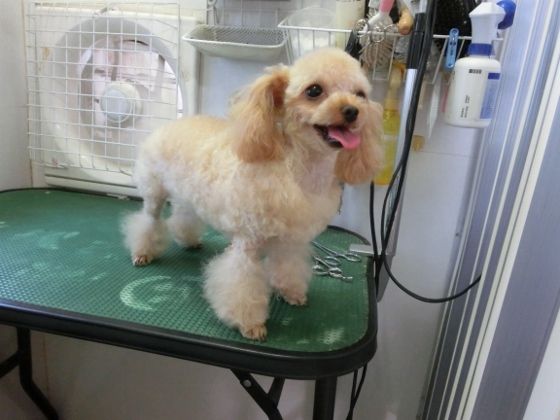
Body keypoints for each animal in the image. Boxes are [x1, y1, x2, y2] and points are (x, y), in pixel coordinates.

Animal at [123, 48, 383, 340]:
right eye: (314, 90)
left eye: (360, 94)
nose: (352, 111)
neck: (297, 172)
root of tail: (172, 123)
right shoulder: (247, 245)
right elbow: (242, 283)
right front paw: (250, 324)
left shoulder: (290, 241)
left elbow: (288, 267)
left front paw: (291, 292)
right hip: (154, 190)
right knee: (149, 220)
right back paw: (143, 251)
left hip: (188, 194)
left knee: (182, 215)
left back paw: (188, 239)